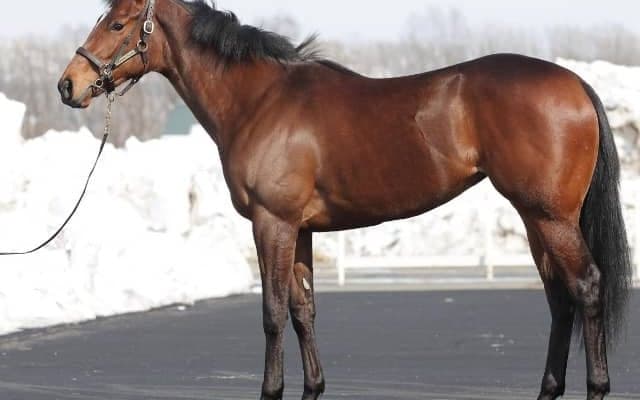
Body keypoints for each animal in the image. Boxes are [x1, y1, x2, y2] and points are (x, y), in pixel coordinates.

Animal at [58, 1, 633, 399]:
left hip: (550, 216)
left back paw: (597, 386)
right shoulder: (299, 230)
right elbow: (303, 310)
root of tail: (575, 83)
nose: (69, 84)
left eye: (117, 25)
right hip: (537, 218)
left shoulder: (272, 224)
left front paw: (271, 389)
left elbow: (272, 312)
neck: (260, 102)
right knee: (560, 297)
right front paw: (313, 386)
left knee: (586, 286)